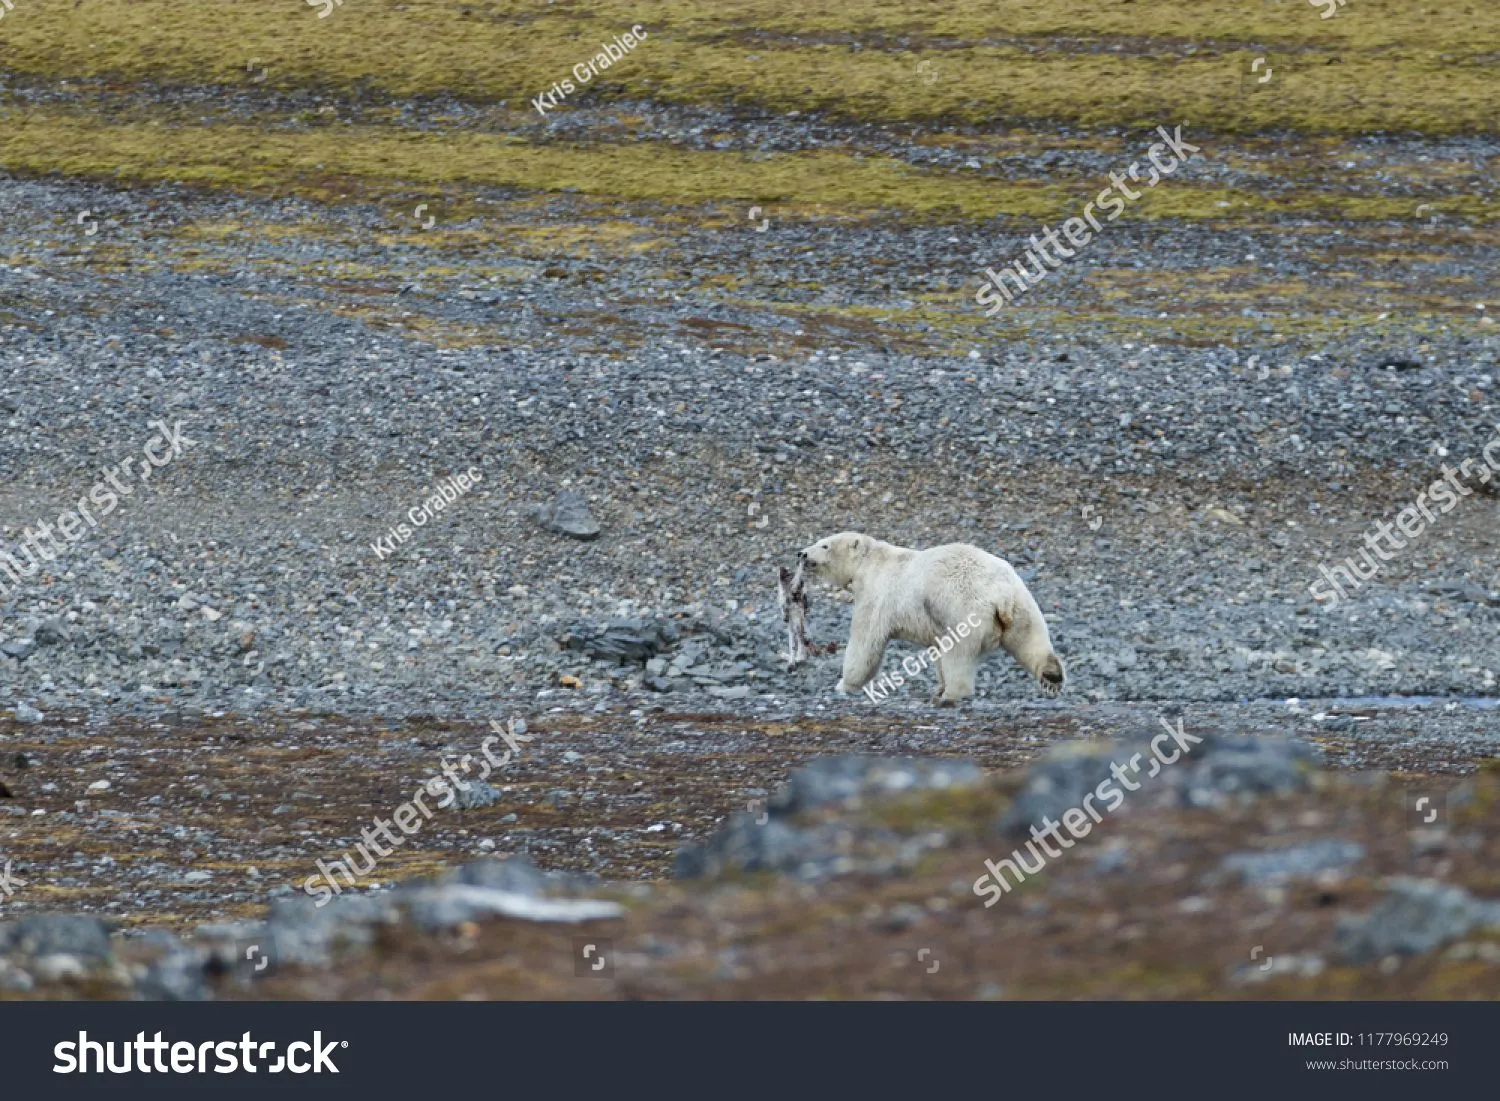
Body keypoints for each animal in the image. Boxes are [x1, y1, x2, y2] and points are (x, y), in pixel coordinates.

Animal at [798, 531, 1065, 702]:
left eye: (824, 545)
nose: (801, 553)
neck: (870, 562)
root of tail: (1000, 593)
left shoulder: (877, 595)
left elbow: (866, 641)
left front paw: (844, 684)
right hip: (1021, 602)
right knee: (1029, 637)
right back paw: (1051, 675)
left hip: (962, 606)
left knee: (959, 654)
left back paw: (953, 693)